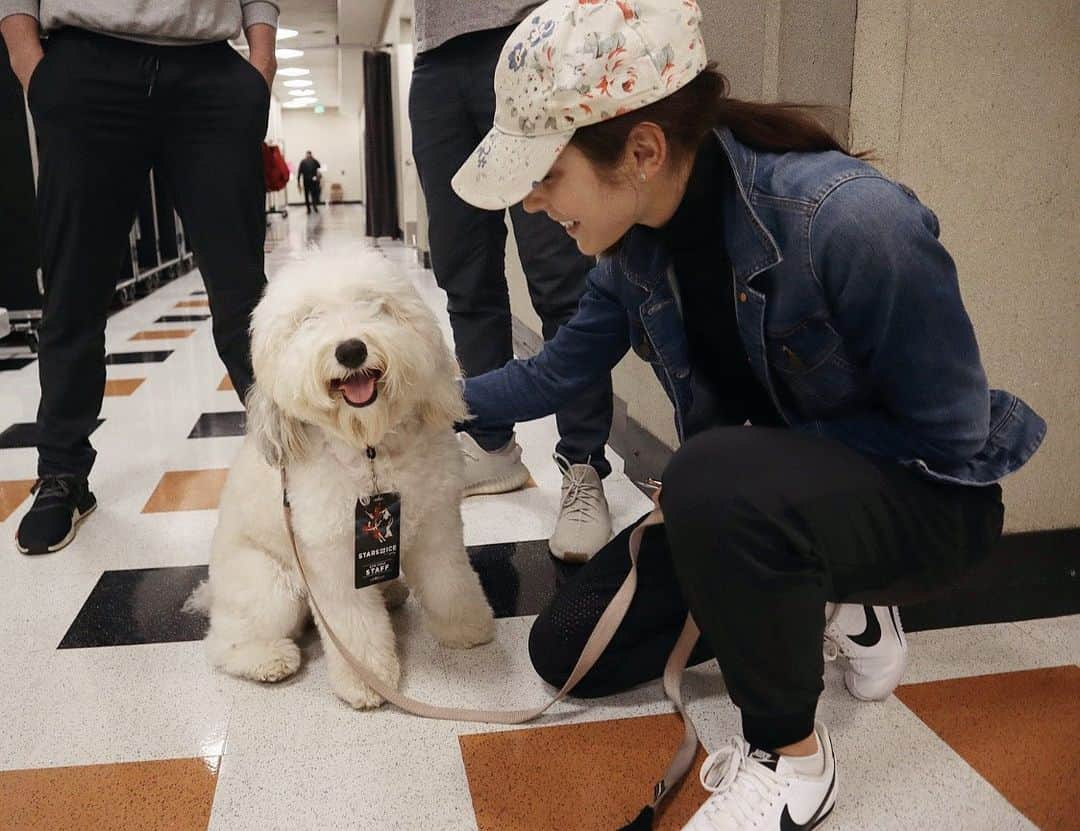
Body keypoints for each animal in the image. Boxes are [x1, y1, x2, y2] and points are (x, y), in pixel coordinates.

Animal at [193, 255, 494, 708]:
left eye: (374, 304)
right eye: (308, 318)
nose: (351, 349)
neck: (370, 449)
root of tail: (213, 592)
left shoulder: (438, 524)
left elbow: (449, 580)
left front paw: (468, 627)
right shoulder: (333, 553)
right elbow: (355, 626)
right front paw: (368, 681)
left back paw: (392, 591)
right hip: (270, 587)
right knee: (223, 642)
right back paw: (268, 659)